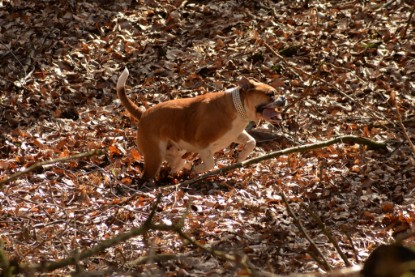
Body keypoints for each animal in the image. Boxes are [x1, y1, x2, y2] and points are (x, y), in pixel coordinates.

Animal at [117, 67, 286, 179]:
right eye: (271, 94)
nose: (283, 98)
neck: (237, 106)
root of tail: (143, 114)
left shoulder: (235, 134)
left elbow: (252, 142)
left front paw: (241, 157)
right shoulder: (203, 144)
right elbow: (210, 163)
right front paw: (198, 169)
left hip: (176, 151)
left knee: (176, 162)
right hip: (154, 157)